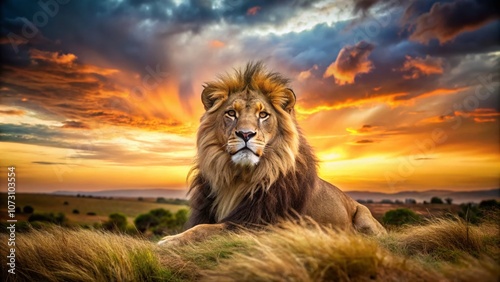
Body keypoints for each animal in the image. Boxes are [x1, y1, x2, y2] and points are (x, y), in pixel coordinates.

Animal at [158, 61, 384, 245]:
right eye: (231, 113)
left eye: (263, 115)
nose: (246, 134)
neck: (238, 178)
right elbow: (203, 225)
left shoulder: (262, 226)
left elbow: (205, 229)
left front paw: (170, 240)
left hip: (364, 216)